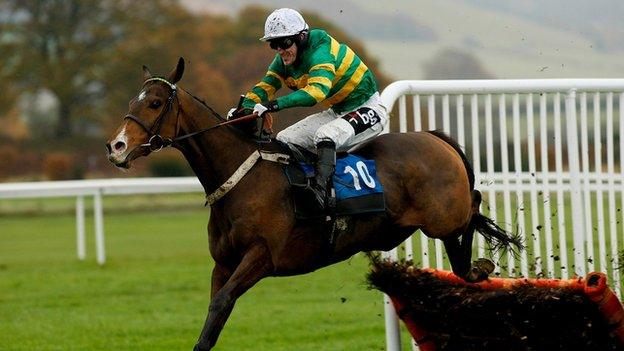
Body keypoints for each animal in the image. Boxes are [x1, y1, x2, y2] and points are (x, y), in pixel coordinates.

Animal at [106, 58, 520, 351]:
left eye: (155, 103)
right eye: (131, 101)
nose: (116, 147)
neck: (243, 177)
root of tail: (435, 138)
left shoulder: (262, 257)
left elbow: (221, 302)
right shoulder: (223, 264)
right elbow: (213, 318)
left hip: (442, 216)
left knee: (472, 212)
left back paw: (481, 265)